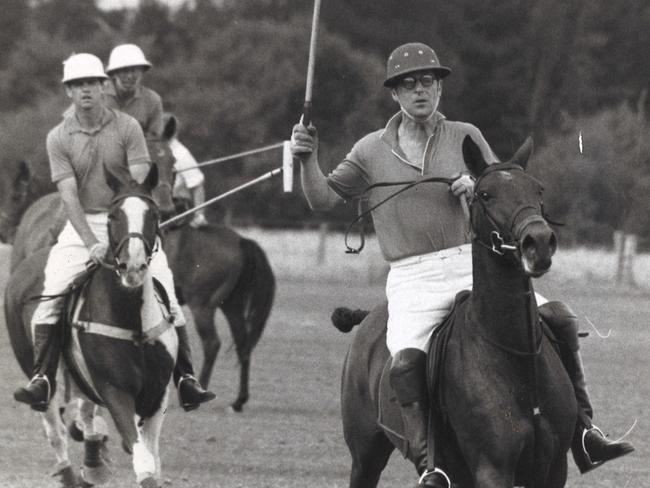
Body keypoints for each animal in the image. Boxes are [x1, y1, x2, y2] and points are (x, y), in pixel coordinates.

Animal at [5, 166, 177, 486]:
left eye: (154, 215)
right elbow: (142, 459)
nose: (132, 267)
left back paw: (93, 459)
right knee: (54, 427)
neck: (131, 320)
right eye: (113, 216)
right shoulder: (115, 390)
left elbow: (152, 458)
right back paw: (68, 470)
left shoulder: (157, 394)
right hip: (33, 365)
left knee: (85, 415)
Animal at [332, 136, 576, 488]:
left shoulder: (554, 467)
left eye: (538, 189)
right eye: (485, 194)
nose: (539, 243)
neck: (513, 353)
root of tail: (367, 317)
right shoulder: (492, 468)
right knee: (405, 365)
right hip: (366, 452)